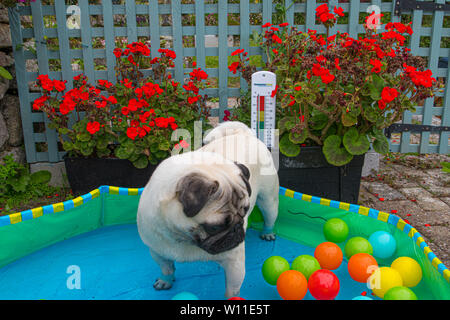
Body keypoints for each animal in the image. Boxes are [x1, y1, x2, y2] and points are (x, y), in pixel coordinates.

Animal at [136, 121, 278, 298]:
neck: (183, 238)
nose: (238, 229)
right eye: (215, 227)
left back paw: (268, 232)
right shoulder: (157, 252)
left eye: (245, 213)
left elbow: (232, 289)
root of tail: (243, 133)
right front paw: (166, 280)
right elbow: (167, 268)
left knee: (269, 215)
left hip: (268, 201)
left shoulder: (234, 263)